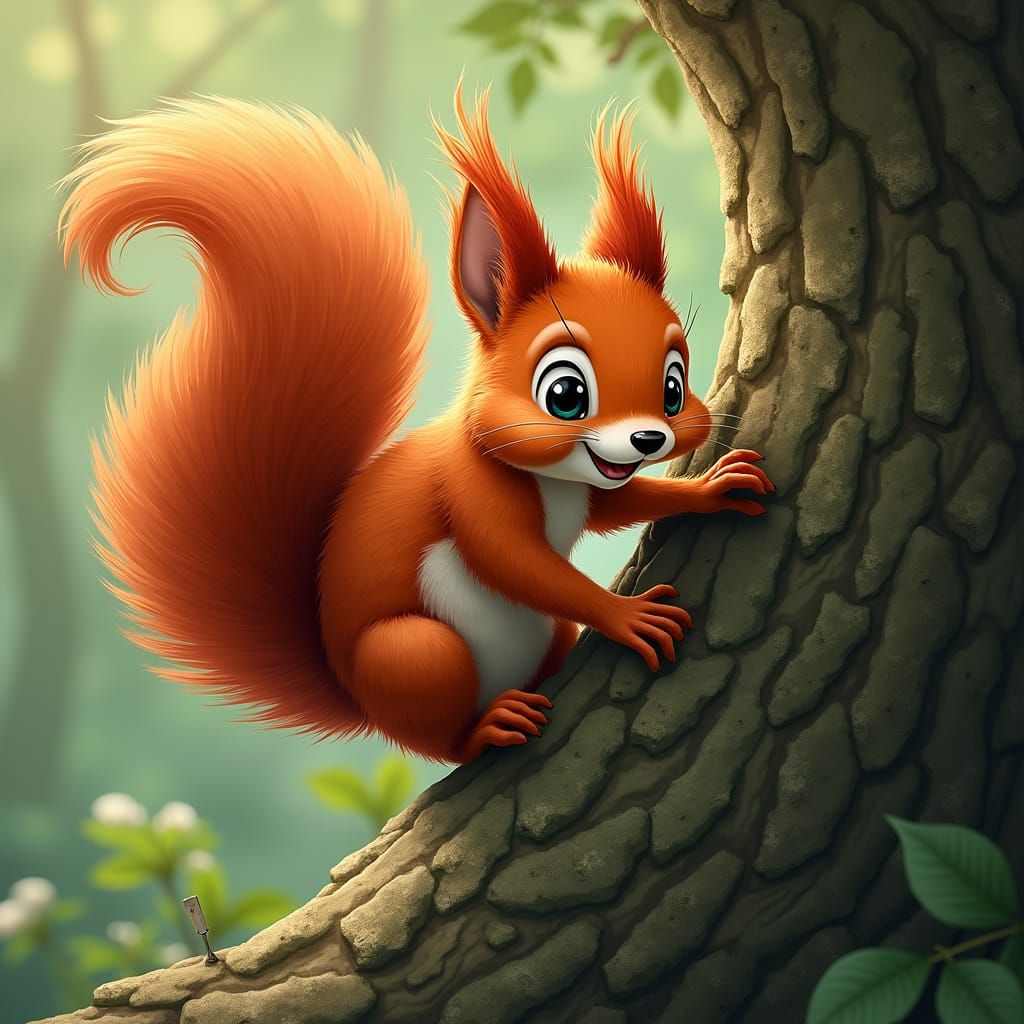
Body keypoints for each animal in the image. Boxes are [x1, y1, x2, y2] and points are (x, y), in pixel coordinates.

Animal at [59, 87, 773, 764]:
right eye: (565, 394)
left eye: (674, 385)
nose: (649, 438)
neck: (553, 480)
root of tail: (358, 695)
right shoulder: (470, 491)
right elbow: (517, 563)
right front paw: (626, 614)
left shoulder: (593, 488)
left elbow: (618, 505)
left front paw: (712, 488)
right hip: (416, 656)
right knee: (439, 740)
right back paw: (486, 728)